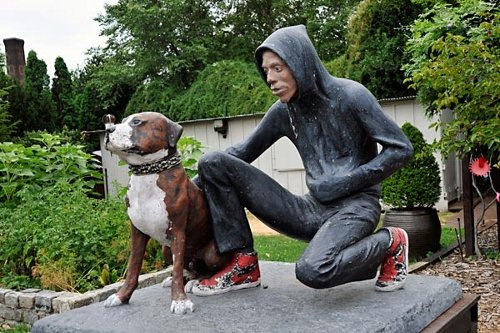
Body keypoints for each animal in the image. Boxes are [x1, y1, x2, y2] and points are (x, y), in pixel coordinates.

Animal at [102, 111, 224, 314]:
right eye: (122, 121)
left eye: (137, 122)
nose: (108, 129)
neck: (147, 173)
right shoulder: (137, 233)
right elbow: (133, 268)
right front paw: (121, 296)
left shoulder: (178, 233)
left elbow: (176, 267)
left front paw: (180, 301)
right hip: (165, 250)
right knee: (189, 269)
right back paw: (184, 278)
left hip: (211, 253)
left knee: (204, 270)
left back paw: (196, 281)